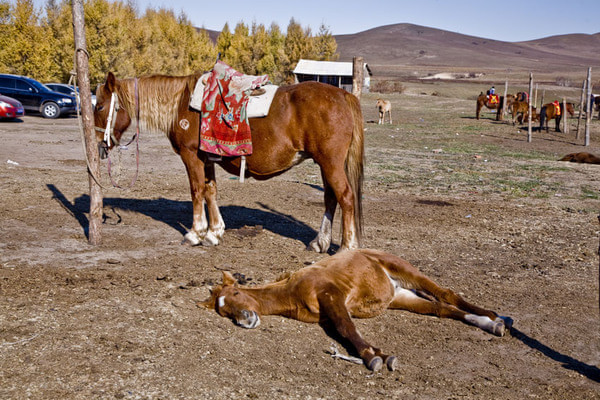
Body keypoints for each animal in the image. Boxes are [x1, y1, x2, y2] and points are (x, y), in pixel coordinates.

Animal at [94, 72, 366, 253]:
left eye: (99, 105)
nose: (99, 143)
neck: (182, 103)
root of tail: (344, 95)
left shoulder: (191, 157)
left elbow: (197, 191)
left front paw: (195, 233)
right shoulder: (207, 159)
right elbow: (211, 191)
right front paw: (214, 232)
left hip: (330, 163)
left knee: (345, 197)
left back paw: (347, 247)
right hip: (325, 164)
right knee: (330, 198)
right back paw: (319, 242)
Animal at [202, 248, 510, 374]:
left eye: (237, 294)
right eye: (224, 311)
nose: (245, 319)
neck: (291, 292)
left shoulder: (331, 296)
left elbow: (346, 328)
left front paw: (372, 358)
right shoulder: (329, 310)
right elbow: (345, 328)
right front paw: (380, 355)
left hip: (406, 271)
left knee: (446, 294)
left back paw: (498, 317)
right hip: (401, 296)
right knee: (441, 308)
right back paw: (490, 324)